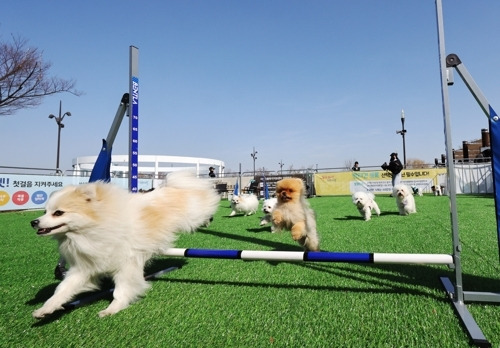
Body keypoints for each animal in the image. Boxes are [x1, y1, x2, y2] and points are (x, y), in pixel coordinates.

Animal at [30, 171, 220, 318]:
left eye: (58, 213)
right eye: (45, 211)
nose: (33, 222)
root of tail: (171, 187)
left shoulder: (126, 265)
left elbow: (120, 290)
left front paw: (112, 308)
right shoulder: (84, 267)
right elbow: (62, 289)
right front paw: (46, 309)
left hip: (193, 215)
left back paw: (207, 220)